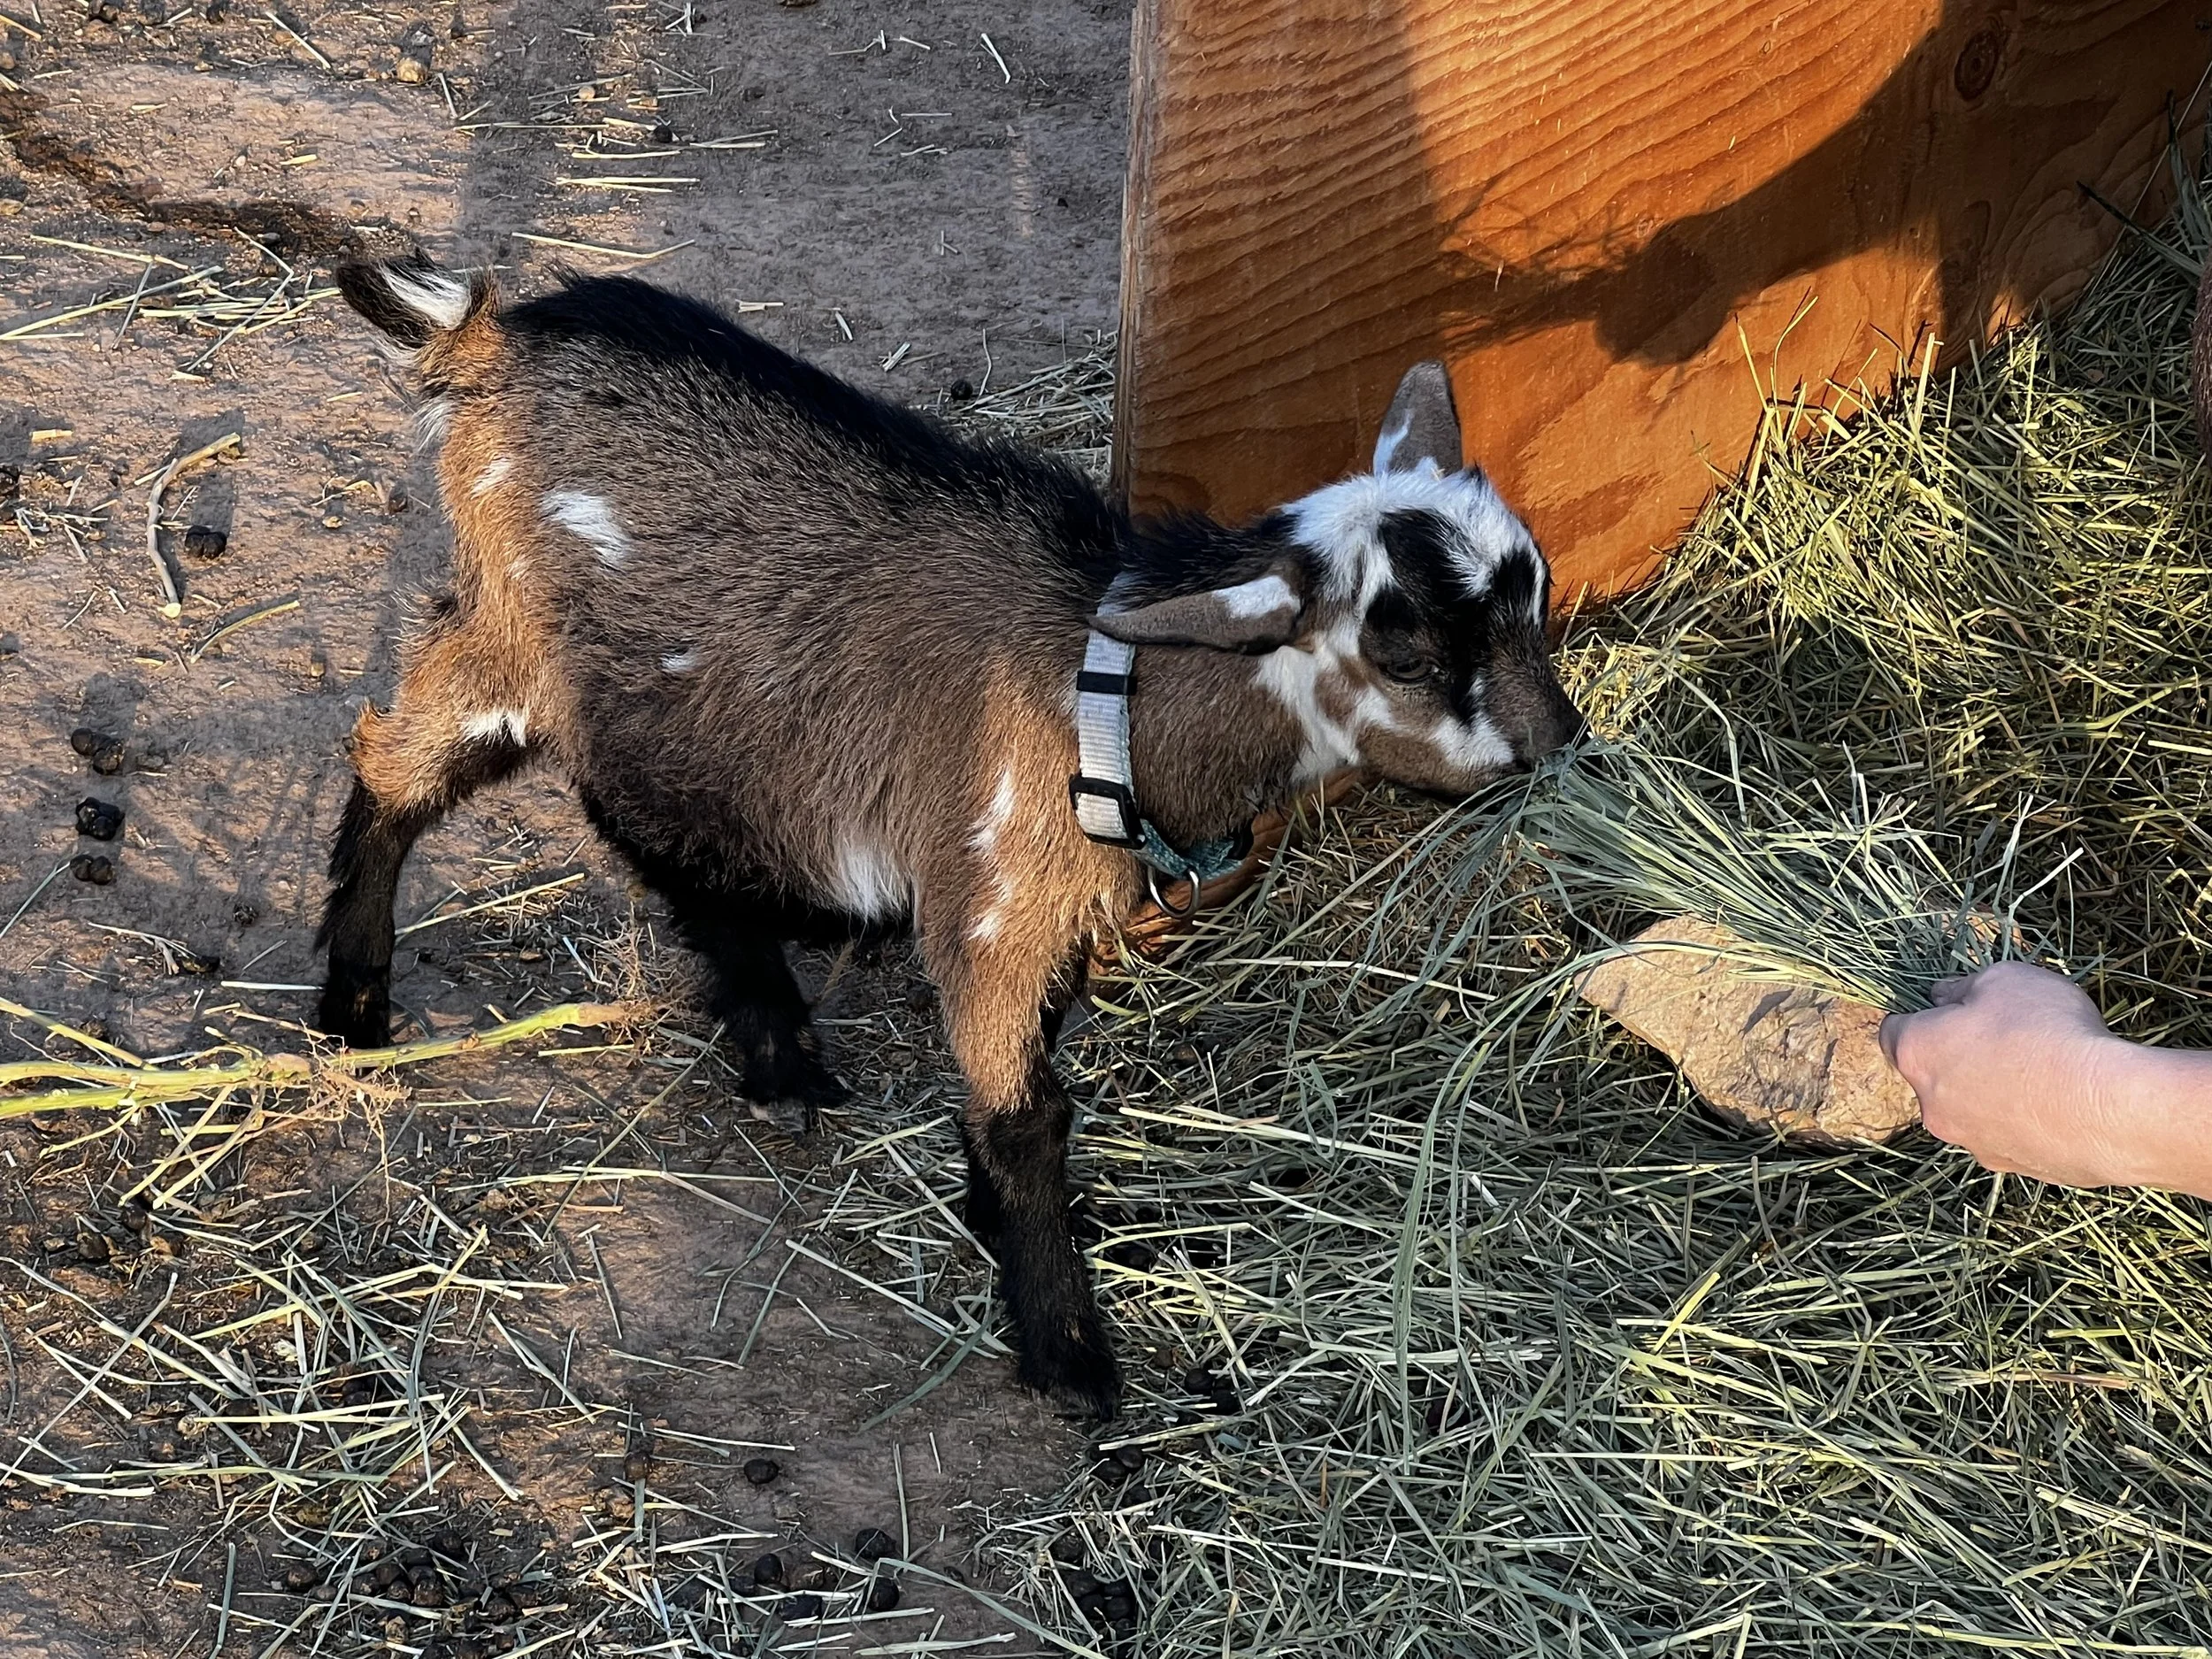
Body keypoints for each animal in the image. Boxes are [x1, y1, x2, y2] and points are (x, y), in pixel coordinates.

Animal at [317, 255, 1584, 1417]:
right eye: (1406, 652)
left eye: (1536, 590)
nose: (1561, 746)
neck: (1100, 696)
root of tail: (486, 339)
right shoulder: (989, 906)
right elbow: (1029, 1116)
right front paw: (1066, 1348)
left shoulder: (1056, 919)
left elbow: (1036, 1062)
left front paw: (1002, 1224)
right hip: (516, 636)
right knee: (398, 766)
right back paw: (358, 1006)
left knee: (643, 821)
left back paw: (772, 1041)